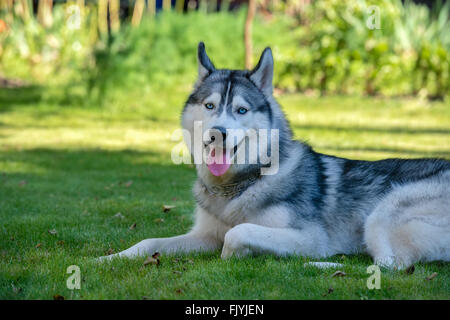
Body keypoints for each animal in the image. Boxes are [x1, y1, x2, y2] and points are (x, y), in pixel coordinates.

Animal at [102, 41, 450, 268]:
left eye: (241, 110)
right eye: (210, 106)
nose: (217, 133)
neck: (240, 185)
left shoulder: (310, 237)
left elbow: (237, 234)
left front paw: (238, 255)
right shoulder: (204, 233)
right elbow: (148, 243)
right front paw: (108, 259)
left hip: (381, 216)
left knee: (391, 266)